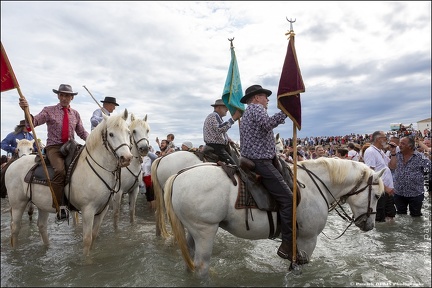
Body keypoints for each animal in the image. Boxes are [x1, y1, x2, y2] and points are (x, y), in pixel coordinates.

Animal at [5, 109, 132, 254]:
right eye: (111, 134)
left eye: (128, 132)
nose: (126, 158)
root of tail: (14, 164)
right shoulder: (88, 210)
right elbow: (87, 240)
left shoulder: (102, 210)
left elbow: (94, 236)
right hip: (18, 204)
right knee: (15, 228)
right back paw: (15, 252)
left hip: (42, 204)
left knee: (41, 226)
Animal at [163, 156, 384, 278]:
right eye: (378, 196)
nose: (370, 225)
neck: (315, 185)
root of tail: (179, 175)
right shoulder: (308, 240)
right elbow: (298, 266)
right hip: (205, 231)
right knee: (201, 267)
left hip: (192, 232)